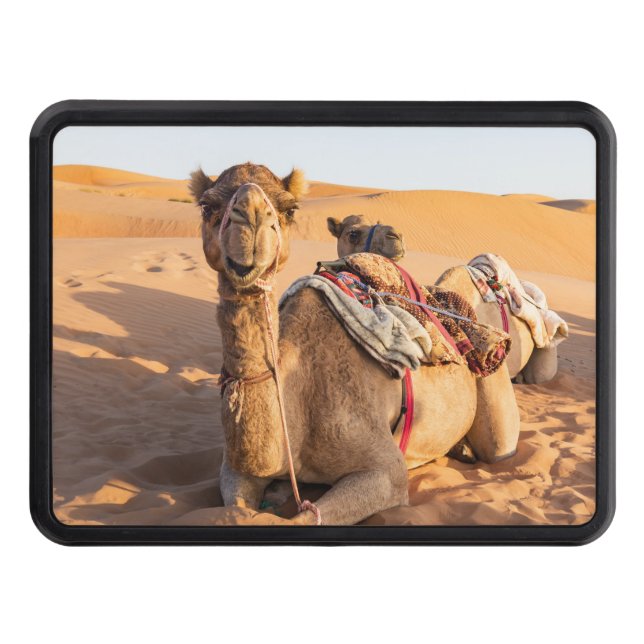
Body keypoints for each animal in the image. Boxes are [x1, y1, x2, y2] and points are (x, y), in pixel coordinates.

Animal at [191, 162, 520, 526]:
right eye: (206, 206)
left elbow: (306, 517)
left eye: (289, 209)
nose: (250, 218)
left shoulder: (386, 471)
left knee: (498, 446)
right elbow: (237, 508)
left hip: (494, 394)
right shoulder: (235, 469)